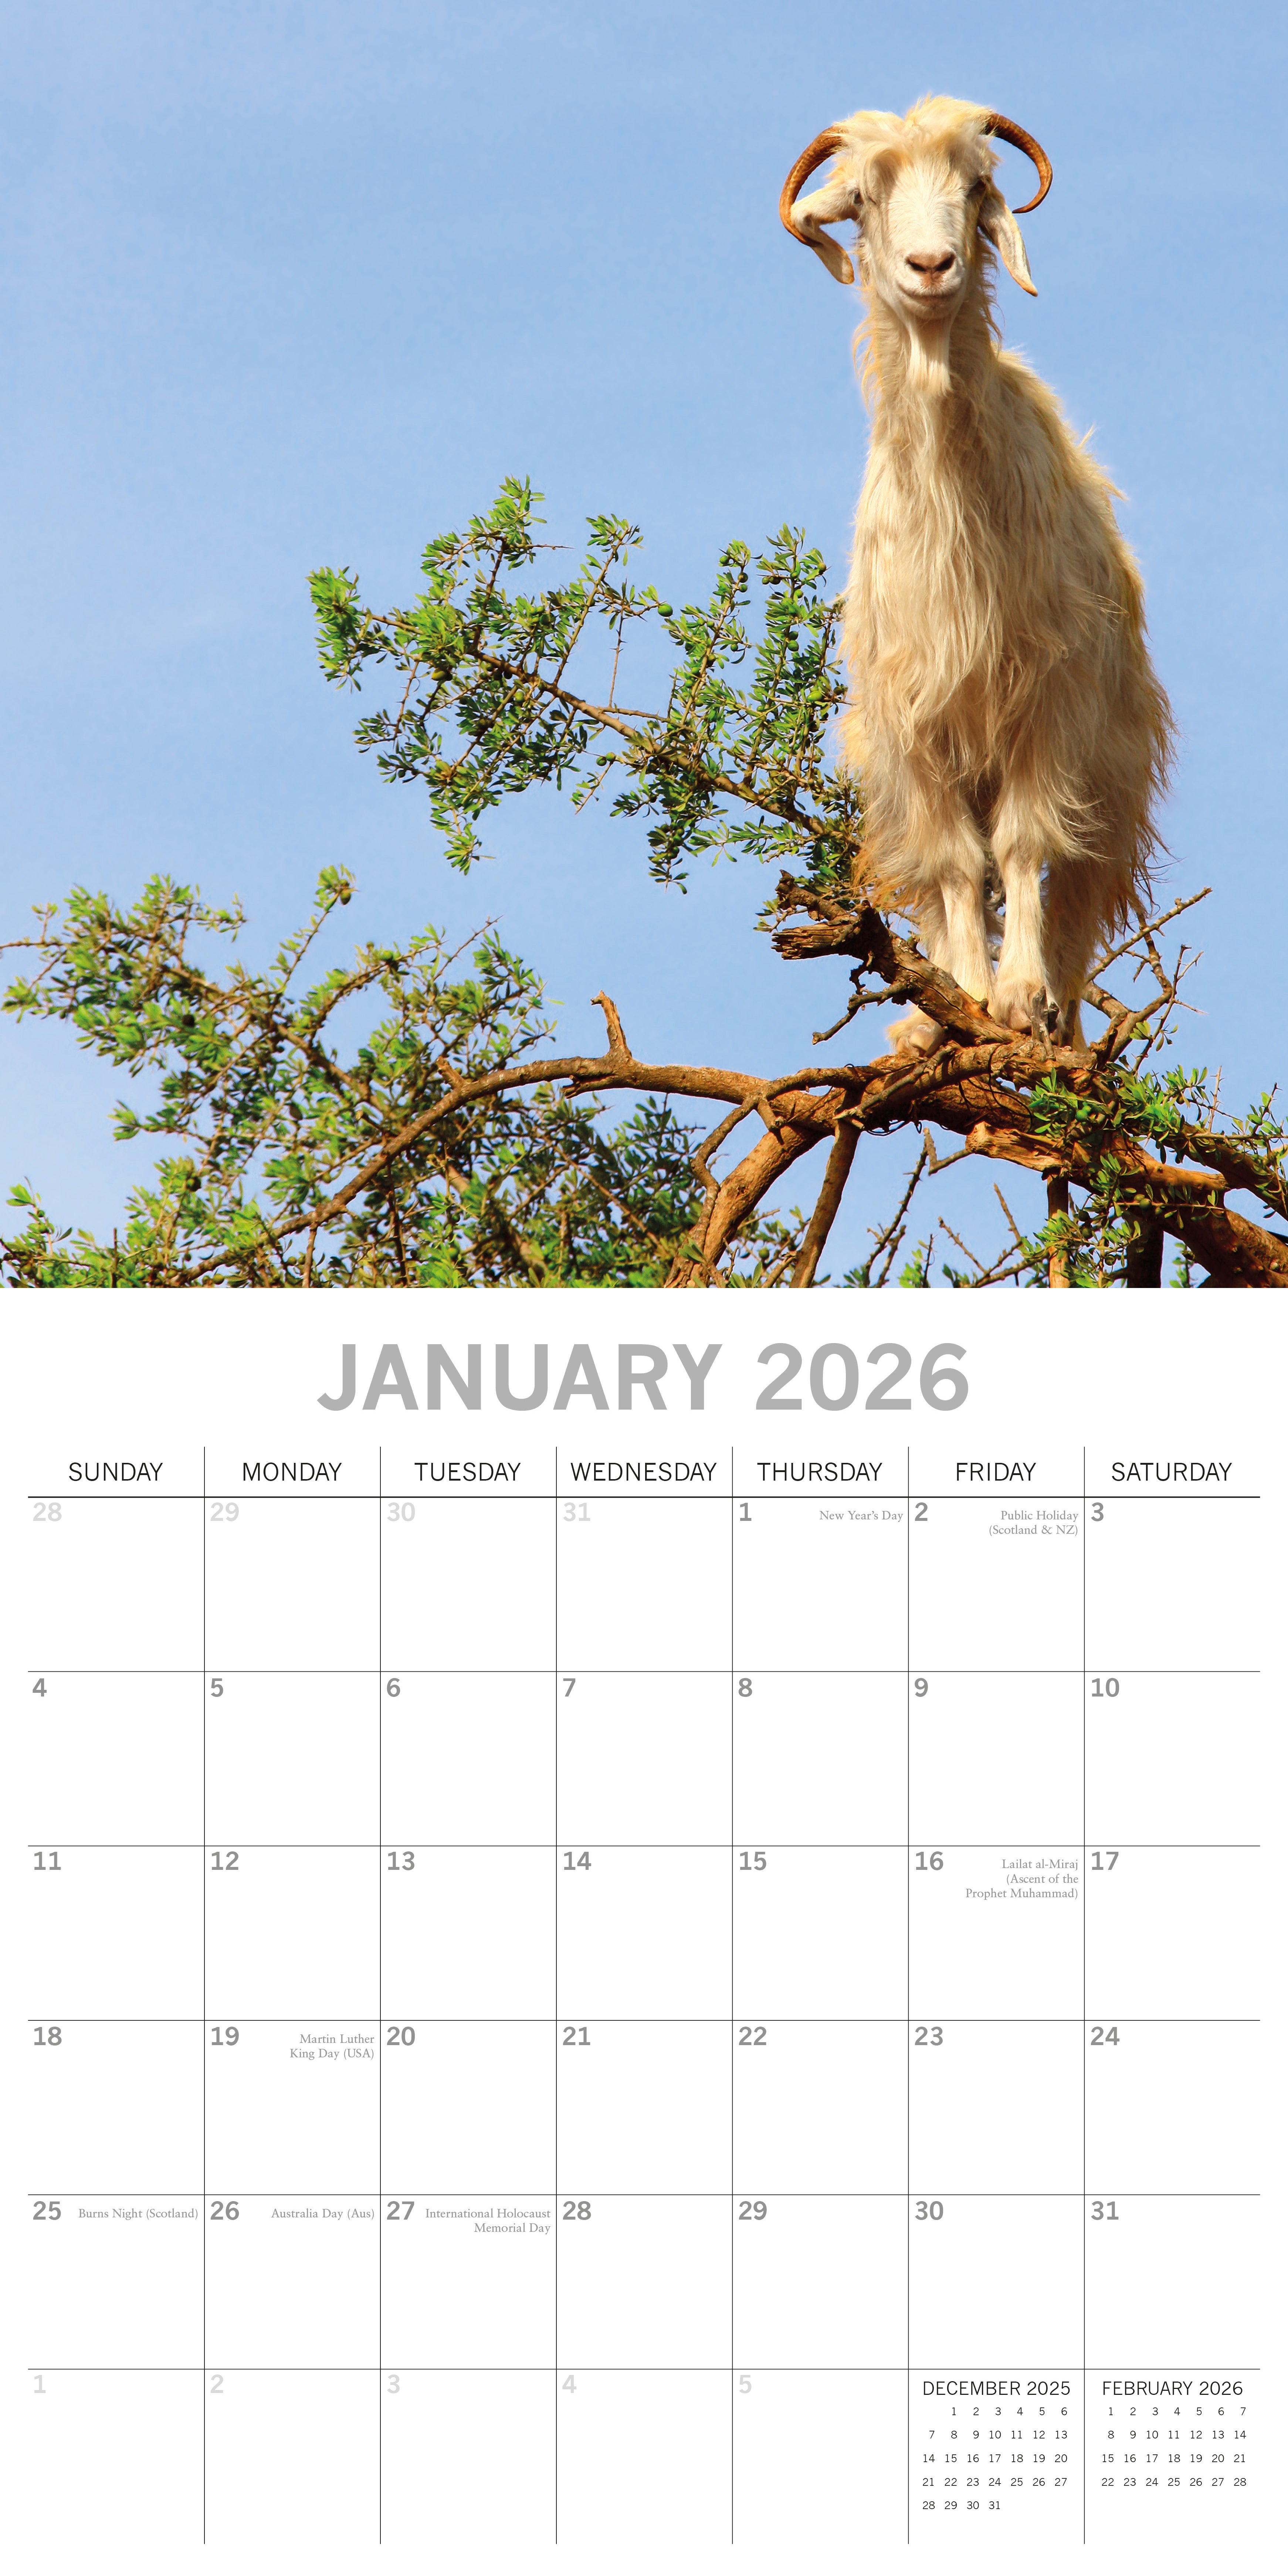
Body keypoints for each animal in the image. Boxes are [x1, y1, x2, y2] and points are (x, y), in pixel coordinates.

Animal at [781, 96, 1174, 1049]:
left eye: (971, 187)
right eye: (865, 196)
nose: (930, 266)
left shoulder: (1047, 703)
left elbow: (1024, 845)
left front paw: (1019, 1000)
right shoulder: (914, 724)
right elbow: (955, 864)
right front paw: (959, 1001)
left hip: (1111, 774)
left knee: (1073, 892)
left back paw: (1061, 1022)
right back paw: (925, 1020)